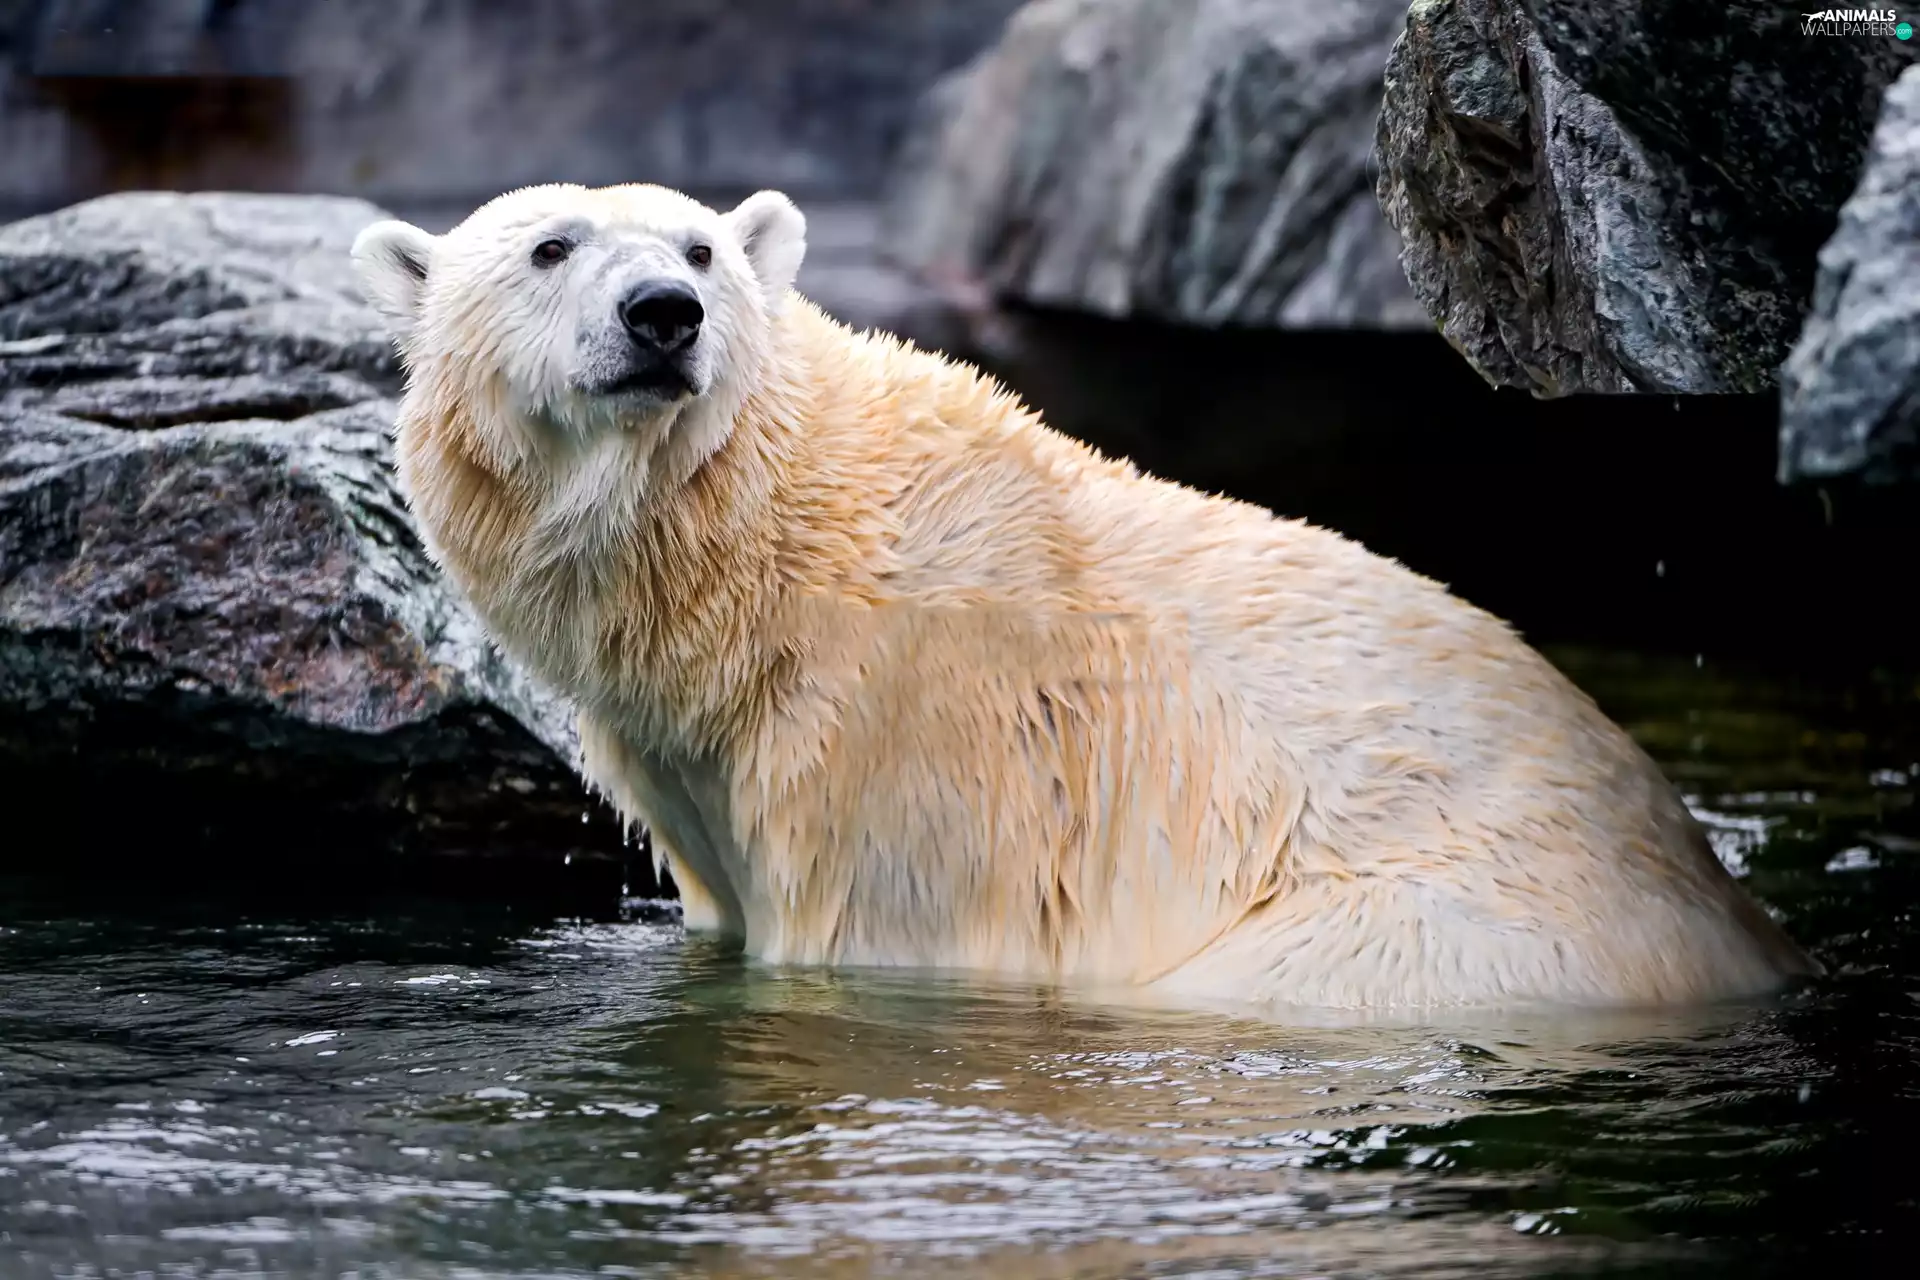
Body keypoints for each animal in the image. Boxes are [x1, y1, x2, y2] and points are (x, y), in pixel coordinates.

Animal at [350, 182, 1818, 1010]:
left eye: (705, 250)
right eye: (551, 246)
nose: (663, 311)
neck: (764, 559)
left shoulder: (917, 750)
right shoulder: (692, 760)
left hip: (1446, 928)